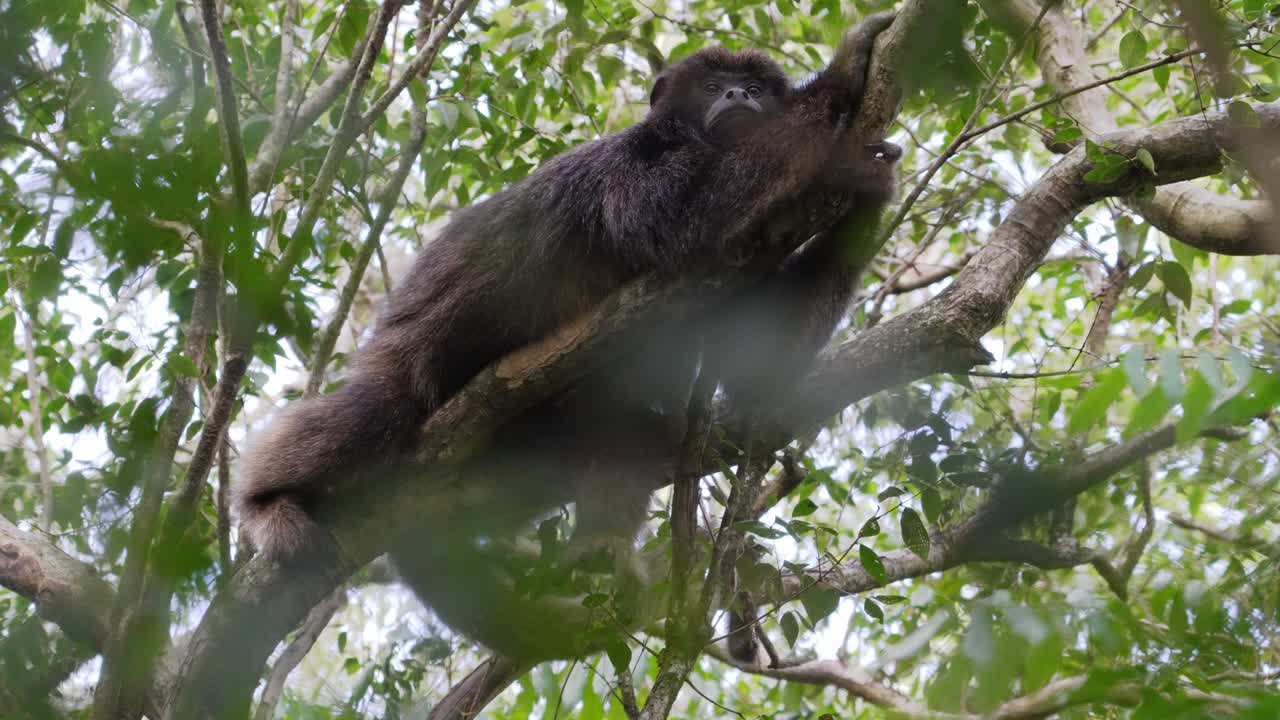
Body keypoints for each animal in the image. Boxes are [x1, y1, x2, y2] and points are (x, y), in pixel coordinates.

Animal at [234, 13, 901, 571]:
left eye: (756, 88)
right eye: (714, 86)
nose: (738, 96)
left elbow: (757, 372)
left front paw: (868, 187)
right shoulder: (625, 167)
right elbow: (692, 212)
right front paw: (841, 76)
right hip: (409, 361)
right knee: (373, 412)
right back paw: (266, 504)